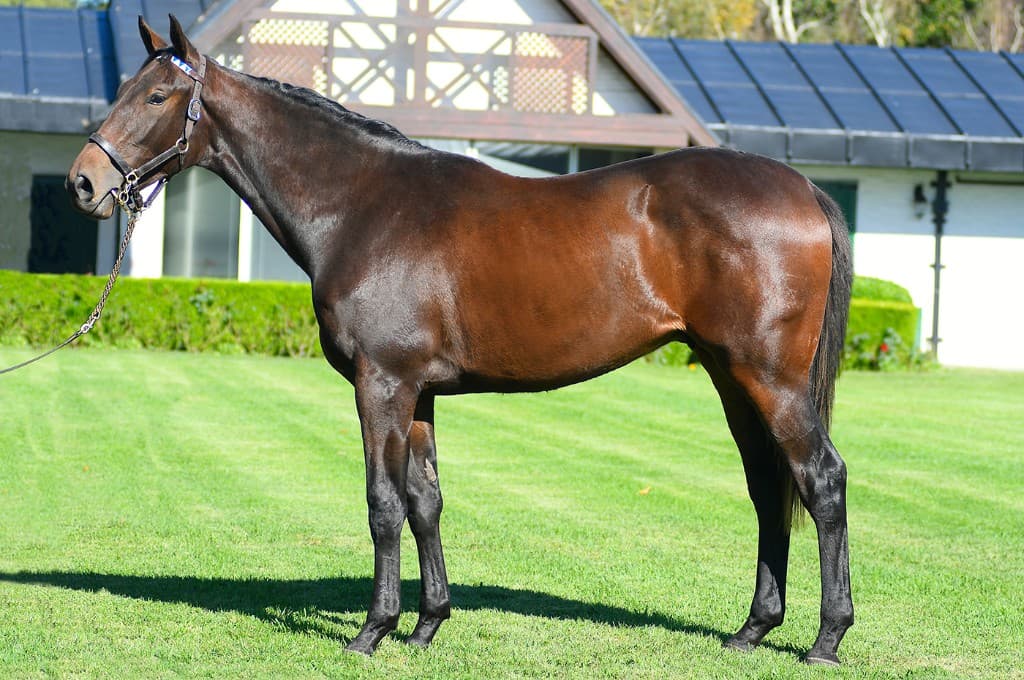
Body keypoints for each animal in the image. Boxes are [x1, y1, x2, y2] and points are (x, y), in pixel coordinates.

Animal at [67, 16, 854, 666]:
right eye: (125, 89)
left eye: (157, 96)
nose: (83, 182)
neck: (360, 204)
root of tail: (805, 190)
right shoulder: (419, 393)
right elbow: (426, 501)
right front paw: (427, 625)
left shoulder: (381, 384)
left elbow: (383, 502)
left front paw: (371, 632)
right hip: (731, 376)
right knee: (769, 487)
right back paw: (752, 629)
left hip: (769, 378)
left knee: (822, 480)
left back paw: (826, 638)